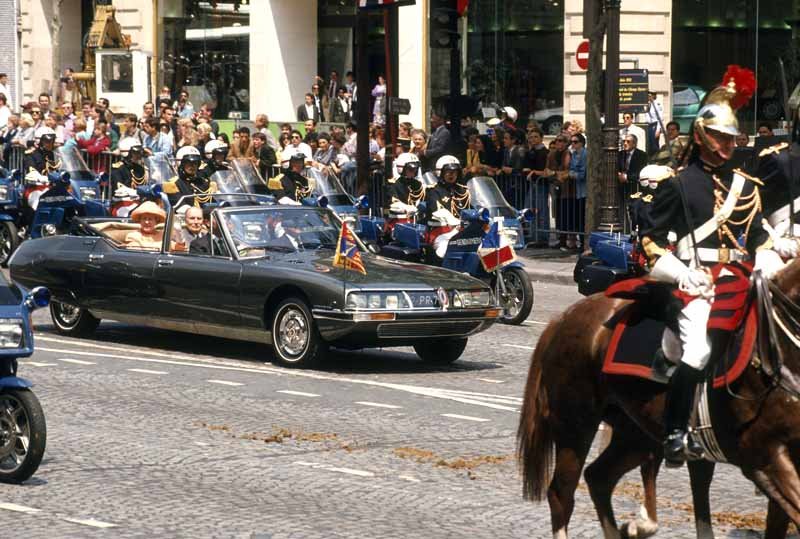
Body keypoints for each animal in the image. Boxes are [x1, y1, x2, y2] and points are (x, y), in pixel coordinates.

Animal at [520, 258, 800, 539]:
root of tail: (563, 318)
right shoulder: (762, 457)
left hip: (635, 434)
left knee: (599, 478)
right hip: (575, 428)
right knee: (562, 494)